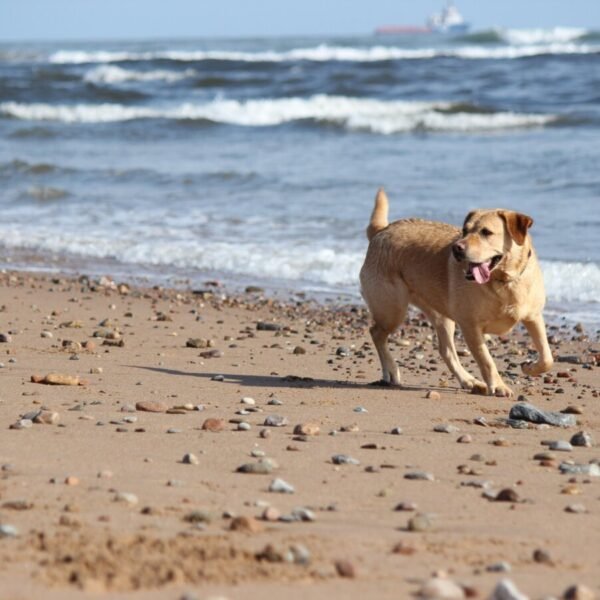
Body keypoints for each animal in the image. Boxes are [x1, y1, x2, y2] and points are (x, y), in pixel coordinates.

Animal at [360, 188, 552, 394]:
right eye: (465, 230)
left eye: (486, 232)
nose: (456, 248)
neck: (504, 282)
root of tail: (382, 231)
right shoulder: (470, 326)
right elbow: (486, 360)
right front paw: (499, 385)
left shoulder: (534, 317)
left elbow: (547, 357)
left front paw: (530, 367)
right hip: (392, 311)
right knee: (376, 333)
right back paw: (391, 370)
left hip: (441, 316)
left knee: (446, 350)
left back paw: (469, 380)